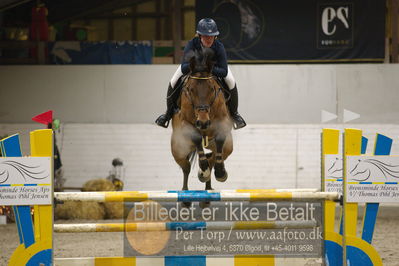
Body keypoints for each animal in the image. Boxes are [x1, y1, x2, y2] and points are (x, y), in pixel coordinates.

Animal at [170, 48, 233, 206]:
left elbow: (220, 140)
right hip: (178, 148)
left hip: (226, 146)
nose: (203, 123)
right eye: (190, 89)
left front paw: (220, 172)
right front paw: (203, 169)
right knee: (185, 167)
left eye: (212, 88)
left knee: (217, 154)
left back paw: (207, 190)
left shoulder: (224, 122)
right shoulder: (185, 123)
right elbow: (197, 137)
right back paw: (186, 197)